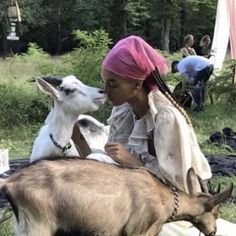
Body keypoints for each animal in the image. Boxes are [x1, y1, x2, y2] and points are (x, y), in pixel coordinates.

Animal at [0, 158, 233, 235]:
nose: (212, 232)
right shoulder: (138, 230)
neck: (165, 198)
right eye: (217, 211)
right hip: (38, 224)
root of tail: (11, 181)